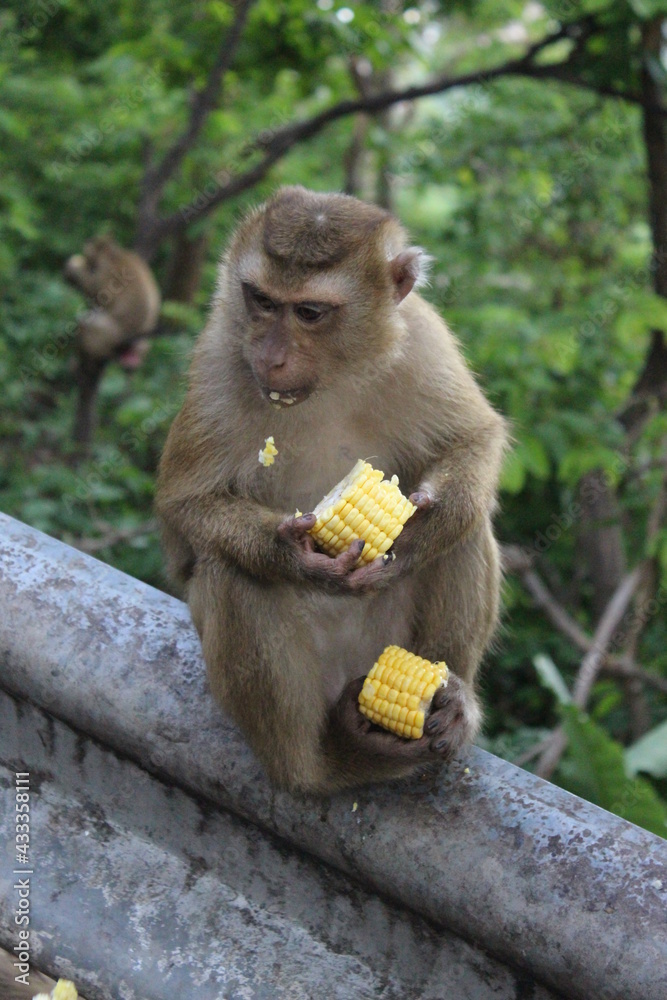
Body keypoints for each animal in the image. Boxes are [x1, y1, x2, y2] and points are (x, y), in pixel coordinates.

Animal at [64, 236, 161, 446]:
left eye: (89, 250)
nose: (86, 253)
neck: (113, 252)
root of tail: (131, 342)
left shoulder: (104, 271)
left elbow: (94, 287)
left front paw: (73, 268)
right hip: (139, 348)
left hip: (108, 334)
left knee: (87, 324)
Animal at [156, 186, 507, 794]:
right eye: (261, 300)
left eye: (310, 312)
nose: (271, 356)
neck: (333, 380)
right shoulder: (219, 358)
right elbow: (184, 512)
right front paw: (291, 553)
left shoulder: (424, 340)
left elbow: (473, 440)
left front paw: (416, 535)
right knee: (231, 571)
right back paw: (318, 759)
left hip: (381, 643)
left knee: (465, 530)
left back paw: (447, 704)